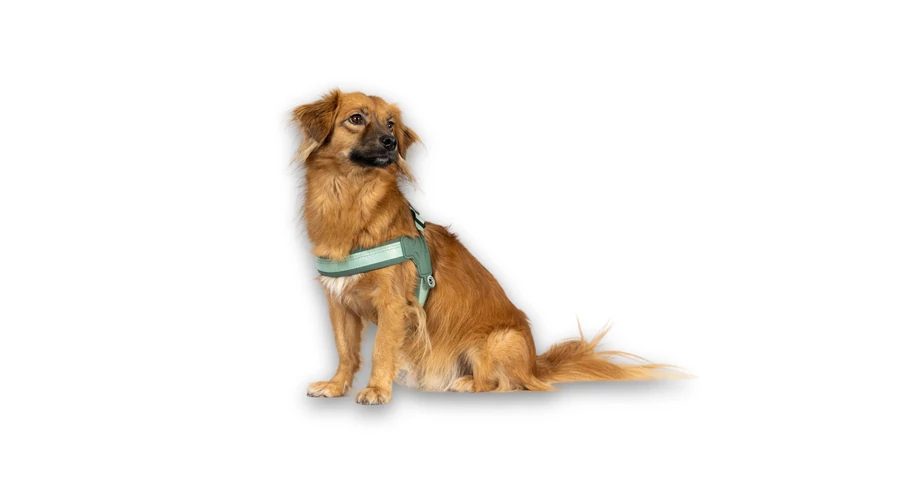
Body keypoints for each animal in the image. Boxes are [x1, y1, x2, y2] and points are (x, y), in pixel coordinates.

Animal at [293, 90, 678, 404]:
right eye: (356, 119)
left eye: (390, 124)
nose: (390, 142)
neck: (349, 197)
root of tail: (535, 364)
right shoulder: (339, 303)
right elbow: (346, 350)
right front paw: (336, 386)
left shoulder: (394, 306)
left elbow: (380, 352)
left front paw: (375, 390)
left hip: (498, 341)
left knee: (503, 384)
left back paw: (464, 383)